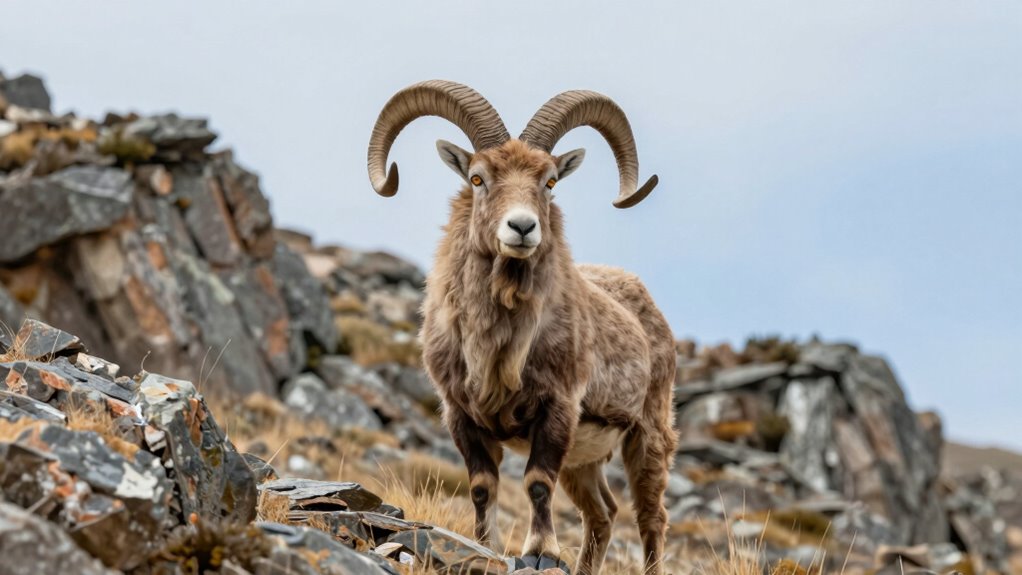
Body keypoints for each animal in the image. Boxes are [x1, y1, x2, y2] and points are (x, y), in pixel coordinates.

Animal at [367, 81, 677, 575]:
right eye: (478, 178)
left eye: (549, 181)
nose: (522, 227)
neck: (498, 347)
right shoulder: (461, 416)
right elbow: (481, 486)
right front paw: (484, 546)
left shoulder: (557, 410)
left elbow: (535, 482)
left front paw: (540, 550)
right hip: (583, 461)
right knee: (603, 513)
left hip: (647, 437)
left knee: (650, 517)